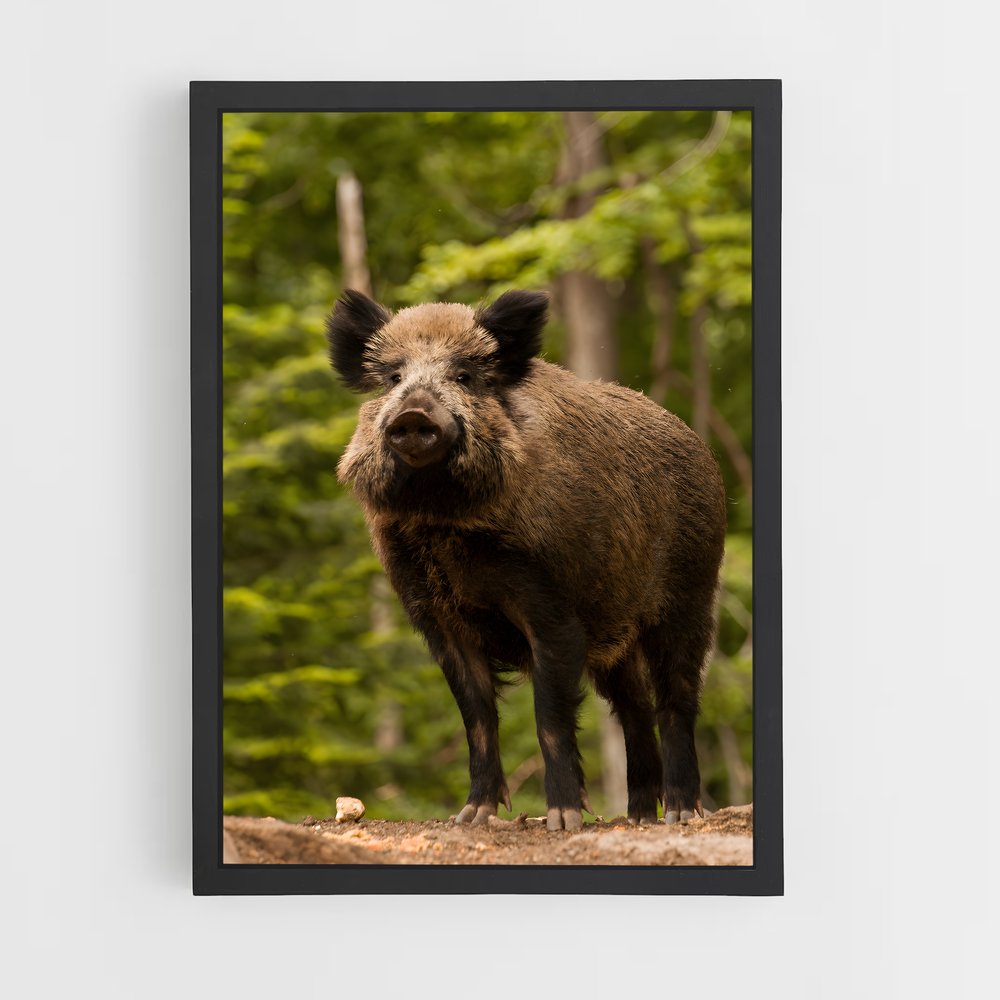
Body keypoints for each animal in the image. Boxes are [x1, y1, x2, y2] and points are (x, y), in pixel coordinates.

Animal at [327, 288, 727, 831]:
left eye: (464, 375)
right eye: (393, 377)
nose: (412, 413)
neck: (444, 520)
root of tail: (701, 449)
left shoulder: (551, 606)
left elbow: (549, 716)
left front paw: (562, 820)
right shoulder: (436, 616)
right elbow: (476, 716)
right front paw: (470, 816)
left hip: (690, 593)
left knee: (677, 699)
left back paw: (681, 815)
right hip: (615, 631)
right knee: (635, 708)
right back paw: (638, 816)